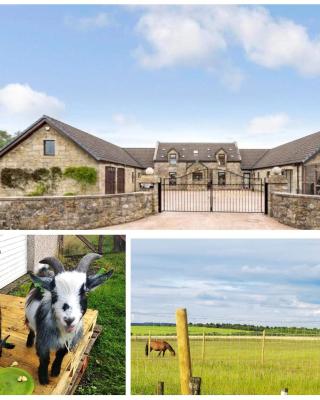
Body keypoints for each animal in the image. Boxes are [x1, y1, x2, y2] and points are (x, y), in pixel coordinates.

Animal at [24, 253, 112, 384]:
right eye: (54, 293)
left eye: (84, 293)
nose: (69, 320)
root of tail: (44, 272)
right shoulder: (43, 340)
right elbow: (45, 359)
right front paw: (43, 379)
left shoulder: (68, 340)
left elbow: (60, 355)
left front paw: (55, 371)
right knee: (31, 329)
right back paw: (29, 343)